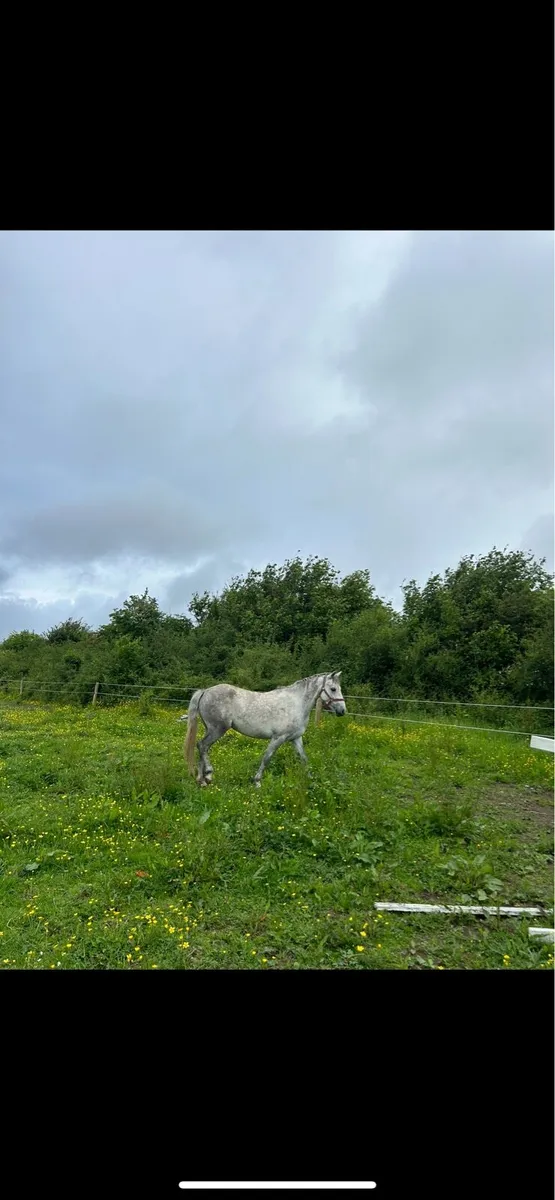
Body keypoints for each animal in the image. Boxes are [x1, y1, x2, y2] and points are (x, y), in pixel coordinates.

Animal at [183, 671, 346, 787]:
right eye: (333, 689)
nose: (342, 711)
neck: (296, 703)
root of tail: (205, 691)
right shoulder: (278, 738)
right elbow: (267, 758)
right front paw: (257, 782)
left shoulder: (295, 738)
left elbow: (304, 759)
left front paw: (311, 780)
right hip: (217, 729)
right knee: (202, 745)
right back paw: (208, 775)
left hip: (211, 729)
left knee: (202, 747)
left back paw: (201, 779)